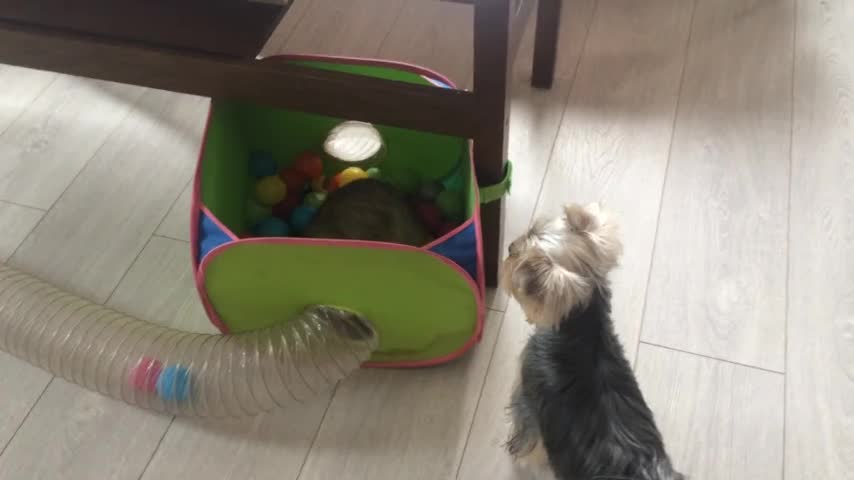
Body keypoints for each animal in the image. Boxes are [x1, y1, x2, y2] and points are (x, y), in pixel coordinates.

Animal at [502, 203, 688, 480]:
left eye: (517, 258)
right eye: (531, 230)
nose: (510, 246)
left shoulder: (527, 398)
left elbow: (530, 445)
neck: (580, 325)